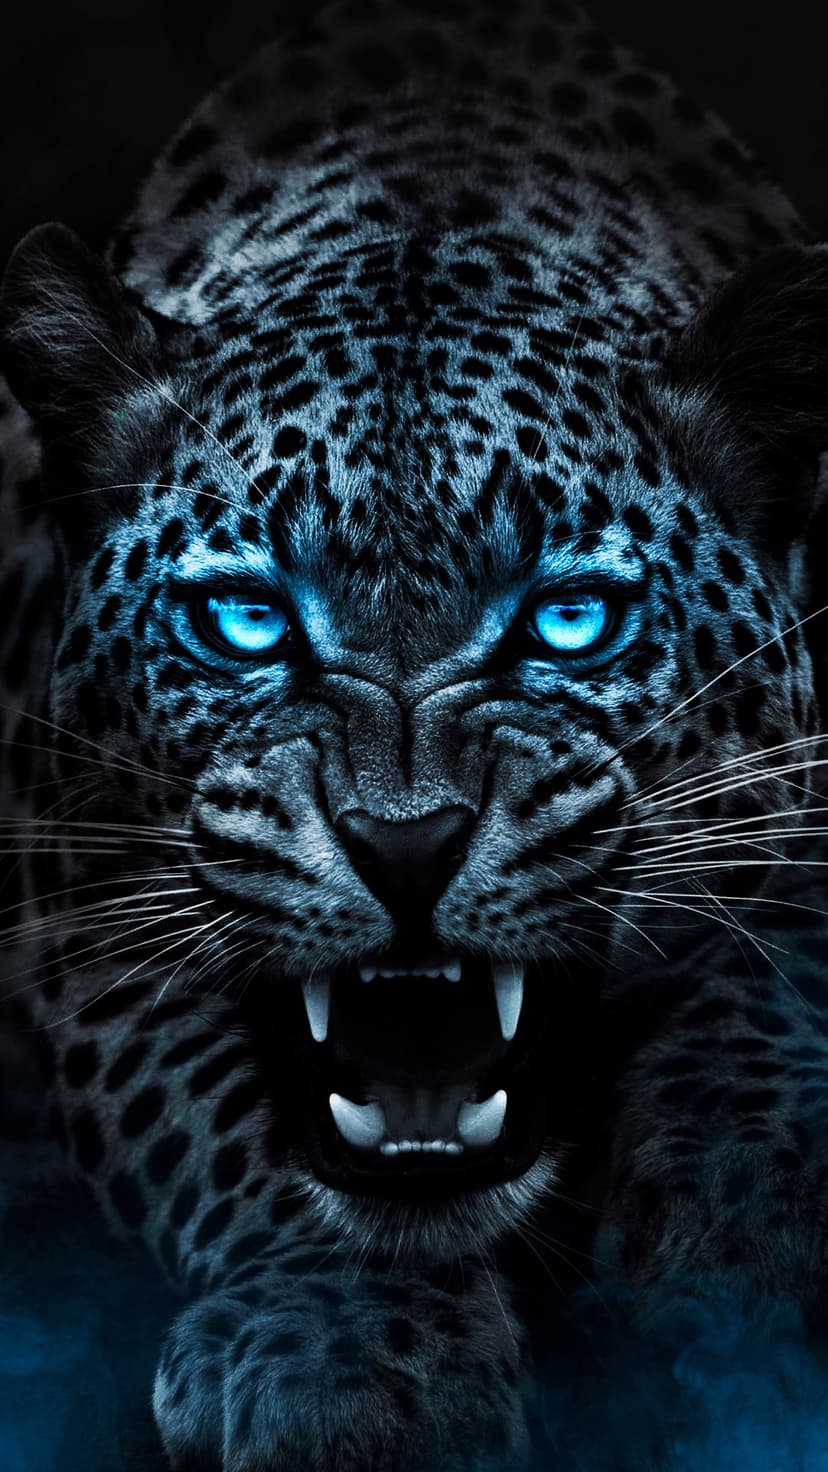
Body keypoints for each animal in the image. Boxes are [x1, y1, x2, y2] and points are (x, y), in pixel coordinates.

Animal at [1, 0, 828, 1468]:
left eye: (568, 620)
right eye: (246, 622)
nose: (405, 845)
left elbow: (780, 979)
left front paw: (746, 1223)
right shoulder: (72, 879)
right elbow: (203, 1107)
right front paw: (351, 1353)